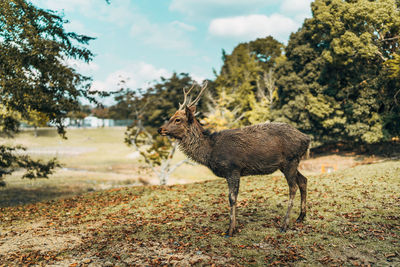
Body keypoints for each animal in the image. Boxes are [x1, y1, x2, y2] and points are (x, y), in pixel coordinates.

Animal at [158, 82, 310, 237]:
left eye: (178, 119)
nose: (160, 129)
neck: (211, 151)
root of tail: (306, 138)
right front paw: (233, 227)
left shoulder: (233, 168)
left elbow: (232, 198)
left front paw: (230, 230)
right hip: (288, 163)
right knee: (303, 180)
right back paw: (300, 217)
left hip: (290, 160)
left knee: (293, 187)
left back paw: (284, 225)